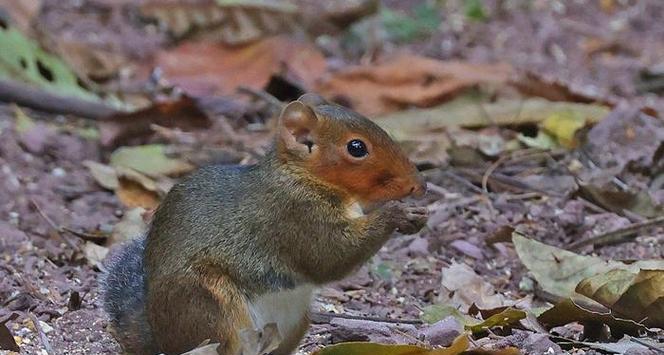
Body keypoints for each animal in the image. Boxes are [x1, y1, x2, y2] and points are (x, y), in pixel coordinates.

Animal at [101, 93, 428, 354]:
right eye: (357, 147)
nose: (419, 185)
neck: (302, 177)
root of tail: (160, 339)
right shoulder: (294, 217)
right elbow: (329, 257)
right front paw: (397, 214)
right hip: (214, 311)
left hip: (293, 324)